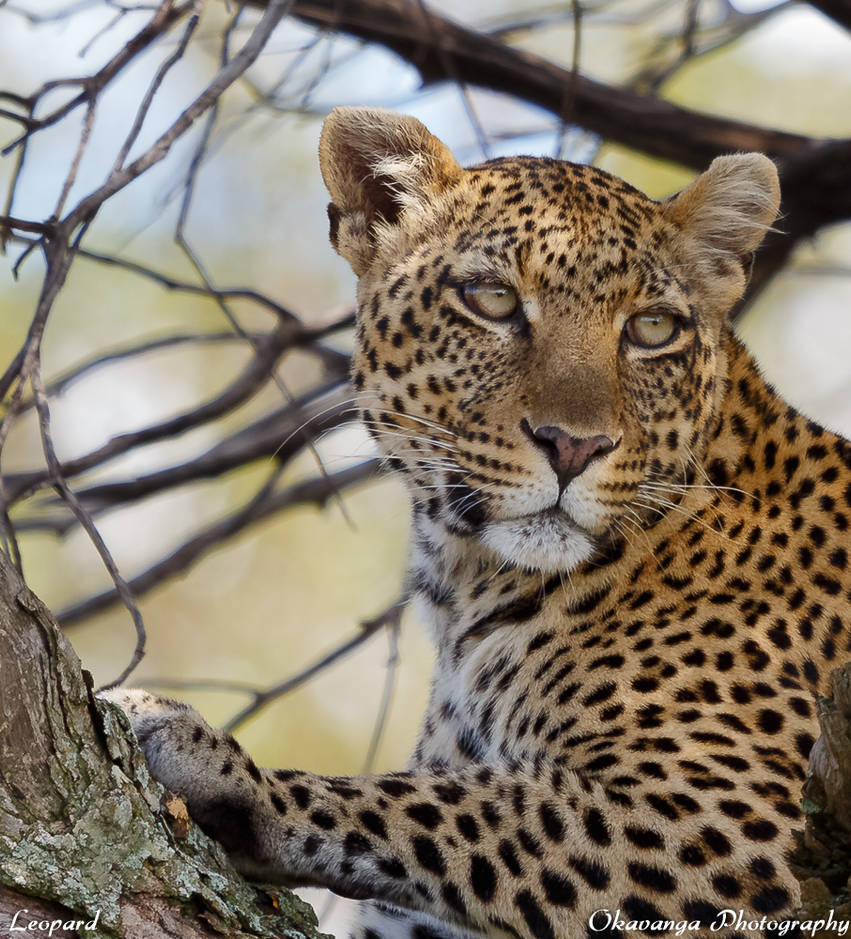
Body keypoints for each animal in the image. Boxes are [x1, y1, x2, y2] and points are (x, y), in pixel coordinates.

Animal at [103, 108, 851, 939]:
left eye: (653, 328)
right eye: (491, 299)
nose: (573, 445)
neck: (466, 584)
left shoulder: (742, 823)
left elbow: (462, 808)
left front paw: (230, 774)